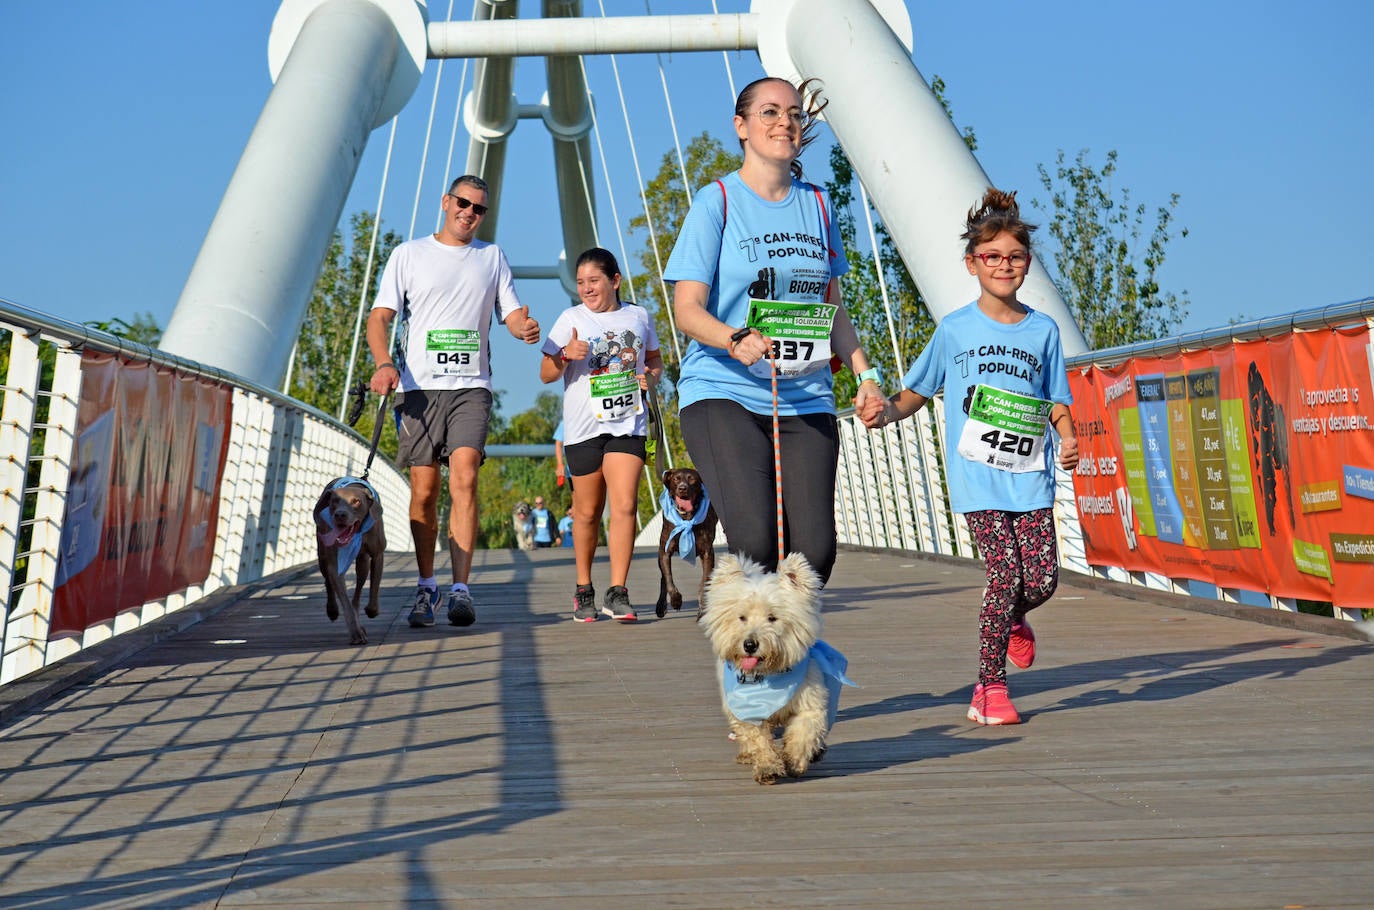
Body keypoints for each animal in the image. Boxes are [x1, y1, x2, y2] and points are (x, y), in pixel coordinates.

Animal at [316, 481, 387, 646]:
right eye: (335, 501)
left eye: (356, 501)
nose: (340, 515)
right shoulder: (335, 565)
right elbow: (345, 602)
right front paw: (356, 633)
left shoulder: (377, 554)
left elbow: (373, 591)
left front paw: (371, 611)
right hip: (322, 554)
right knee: (328, 582)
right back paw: (332, 610)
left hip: (362, 562)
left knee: (357, 594)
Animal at [654, 470, 719, 621]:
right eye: (676, 479)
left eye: (692, 479)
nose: (682, 488)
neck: (686, 517)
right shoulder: (664, 552)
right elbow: (668, 578)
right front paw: (676, 600)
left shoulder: (707, 553)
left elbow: (704, 582)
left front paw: (702, 609)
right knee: (663, 578)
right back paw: (660, 606)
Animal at [703, 552, 851, 786]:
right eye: (741, 617)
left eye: (772, 617)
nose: (750, 645)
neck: (768, 677)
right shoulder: (747, 709)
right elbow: (758, 740)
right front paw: (768, 767)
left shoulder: (809, 704)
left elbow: (803, 733)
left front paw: (794, 761)